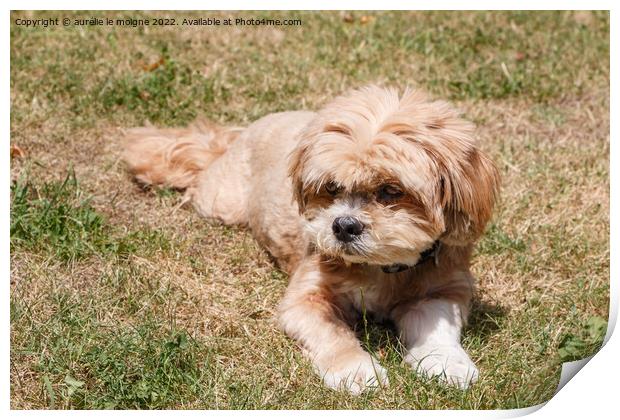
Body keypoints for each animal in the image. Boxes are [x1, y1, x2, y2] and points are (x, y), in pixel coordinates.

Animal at [121, 85, 498, 394]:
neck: (379, 270)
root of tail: (241, 134)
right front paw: (355, 369)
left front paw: (447, 363)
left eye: (391, 191)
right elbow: (333, 335)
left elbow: (437, 330)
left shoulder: (442, 290)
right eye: (331, 187)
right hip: (219, 202)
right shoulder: (306, 298)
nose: (344, 225)